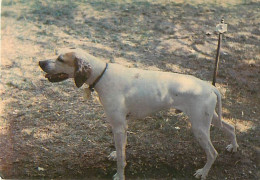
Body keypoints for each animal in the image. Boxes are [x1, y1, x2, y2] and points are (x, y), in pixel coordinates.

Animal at [39, 48, 240, 179]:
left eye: (60, 59)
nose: (40, 62)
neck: (102, 74)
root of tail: (209, 86)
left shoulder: (119, 125)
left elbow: (122, 158)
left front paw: (119, 175)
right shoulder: (121, 125)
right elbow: (120, 148)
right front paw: (115, 153)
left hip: (199, 127)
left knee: (213, 153)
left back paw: (203, 172)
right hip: (209, 120)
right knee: (230, 127)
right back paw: (233, 147)